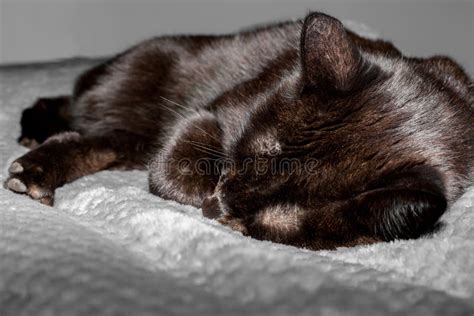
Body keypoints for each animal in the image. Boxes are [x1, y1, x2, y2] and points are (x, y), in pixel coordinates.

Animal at [4, 11, 474, 249]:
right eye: (247, 156)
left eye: (260, 219)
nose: (217, 205)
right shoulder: (207, 115)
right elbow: (173, 168)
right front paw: (198, 189)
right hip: (122, 88)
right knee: (68, 107)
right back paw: (34, 136)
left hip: (126, 138)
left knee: (92, 142)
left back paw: (35, 172)